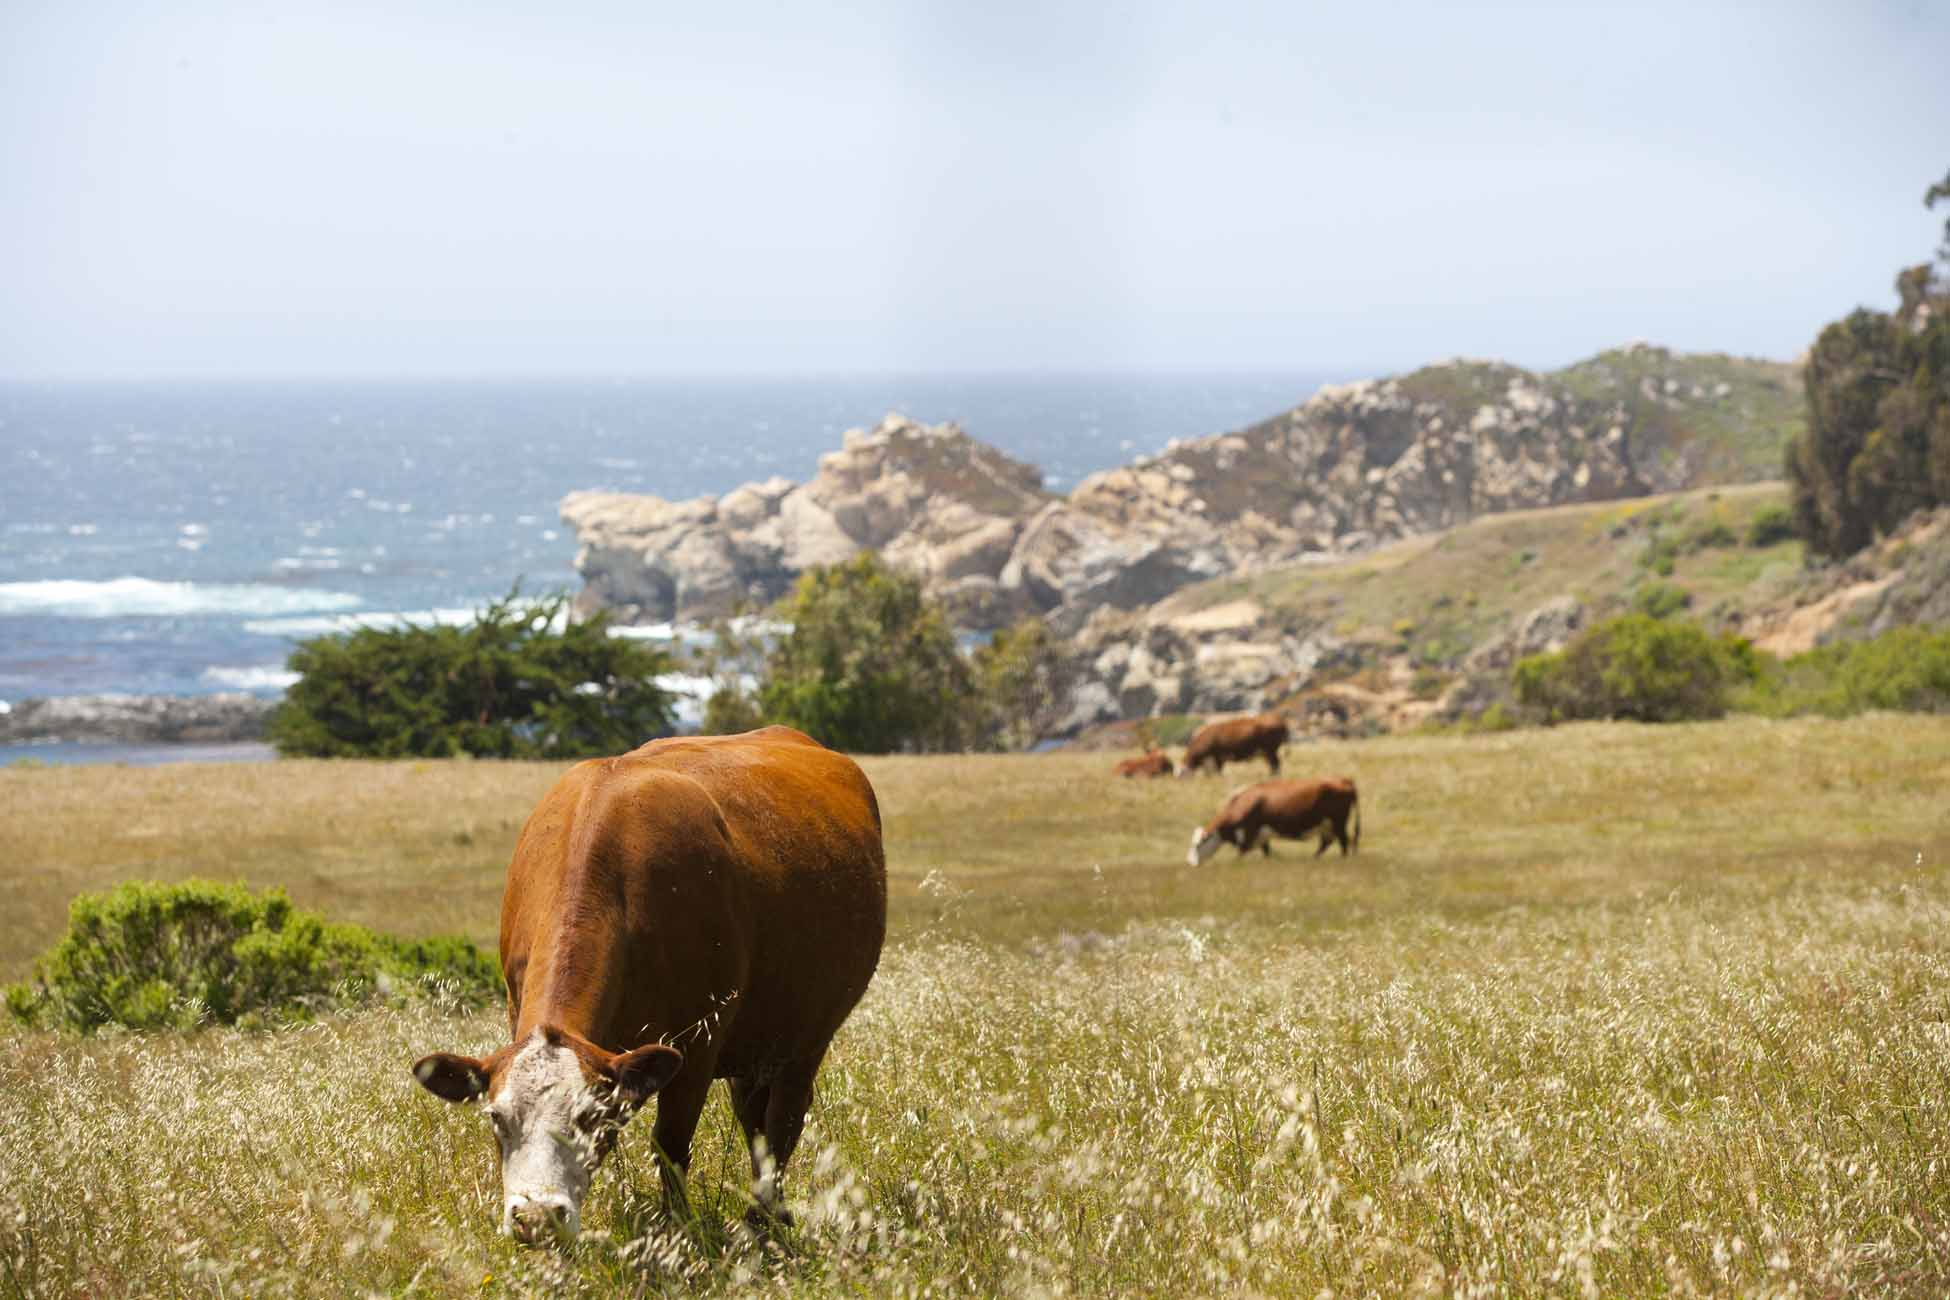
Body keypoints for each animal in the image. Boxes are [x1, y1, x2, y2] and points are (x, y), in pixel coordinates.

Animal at [410, 725, 887, 1245]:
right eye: (496, 1117)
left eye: (588, 1116)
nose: (537, 1217)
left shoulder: (697, 1046)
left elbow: (671, 1146)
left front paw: (676, 1227)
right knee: (754, 1121)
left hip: (807, 1038)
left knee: (783, 1122)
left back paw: (763, 1222)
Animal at [1187, 777, 1360, 866]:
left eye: (1197, 844)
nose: (1190, 862)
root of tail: (1344, 780)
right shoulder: (1262, 836)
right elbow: (1266, 851)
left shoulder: (1250, 832)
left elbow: (1241, 851)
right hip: (1326, 825)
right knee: (1326, 843)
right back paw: (1314, 858)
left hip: (1338, 822)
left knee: (1344, 841)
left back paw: (1341, 859)